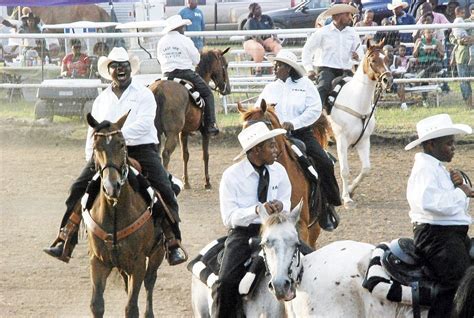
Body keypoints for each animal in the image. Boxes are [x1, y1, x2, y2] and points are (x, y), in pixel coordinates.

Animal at [85, 112, 165, 318]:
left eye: (121, 144)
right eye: (96, 146)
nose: (111, 187)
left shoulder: (138, 263)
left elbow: (131, 307)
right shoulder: (98, 262)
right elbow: (96, 305)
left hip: (157, 253)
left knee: (150, 281)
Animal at [147, 48, 231, 190]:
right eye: (225, 65)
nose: (228, 89)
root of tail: (158, 89)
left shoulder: (183, 132)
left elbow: (185, 155)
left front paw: (186, 182)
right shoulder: (204, 132)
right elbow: (205, 155)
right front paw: (207, 182)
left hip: (156, 133)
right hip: (172, 134)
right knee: (166, 154)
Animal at [328, 40, 394, 209]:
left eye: (387, 59)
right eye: (373, 60)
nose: (388, 80)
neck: (356, 102)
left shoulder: (363, 141)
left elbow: (366, 169)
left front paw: (351, 191)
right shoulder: (341, 140)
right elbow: (344, 170)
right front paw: (346, 199)